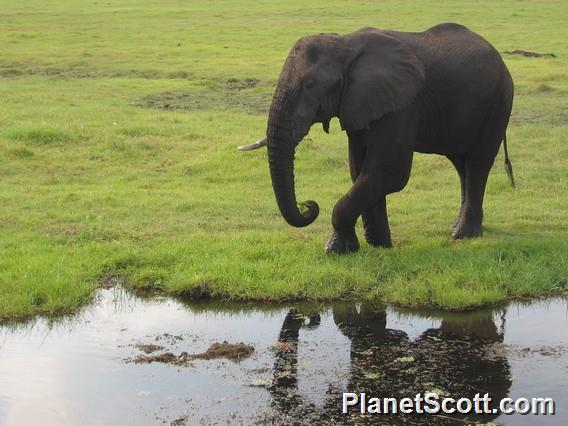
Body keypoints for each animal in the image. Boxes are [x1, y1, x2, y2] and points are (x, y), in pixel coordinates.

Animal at [240, 23, 516, 255]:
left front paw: (337, 250)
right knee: (462, 165)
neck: (344, 43)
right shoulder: (358, 104)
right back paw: (458, 226)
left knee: (478, 163)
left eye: (310, 84)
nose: (308, 204)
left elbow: (388, 172)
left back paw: (463, 235)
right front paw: (378, 246)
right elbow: (360, 170)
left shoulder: (402, 105)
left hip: (498, 102)